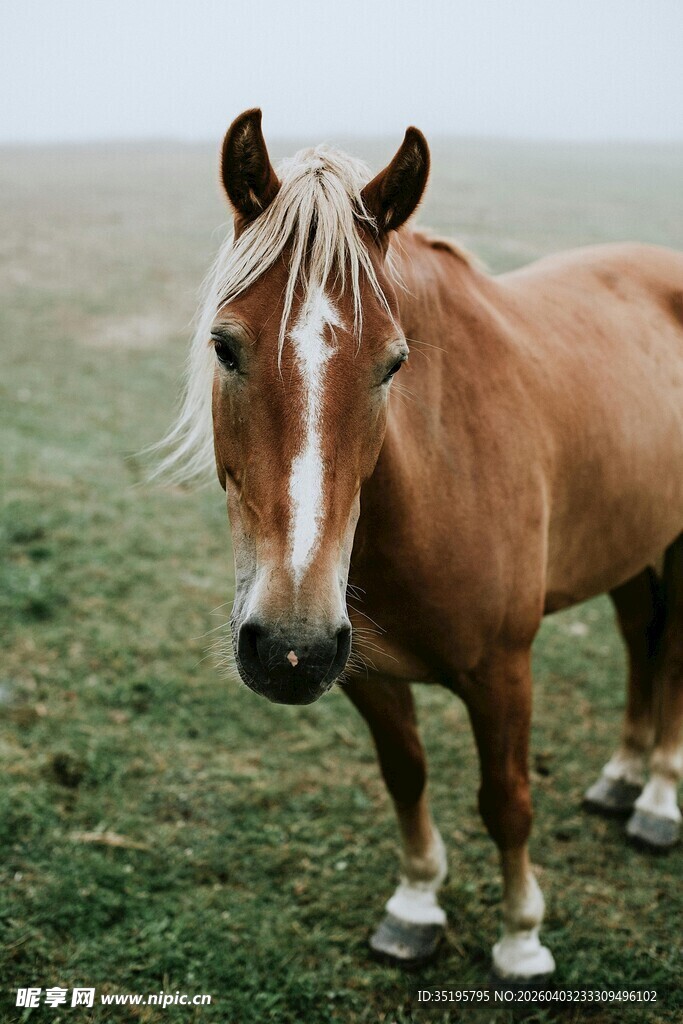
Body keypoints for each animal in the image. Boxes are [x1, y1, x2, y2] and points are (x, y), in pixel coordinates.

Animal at [157, 109, 683, 980]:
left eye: (392, 363)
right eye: (224, 346)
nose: (289, 646)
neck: (434, 482)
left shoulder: (504, 668)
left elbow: (506, 802)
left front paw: (521, 938)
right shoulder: (363, 671)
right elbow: (406, 776)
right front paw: (414, 905)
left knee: (667, 651)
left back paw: (659, 799)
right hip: (628, 539)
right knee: (640, 640)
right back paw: (620, 776)